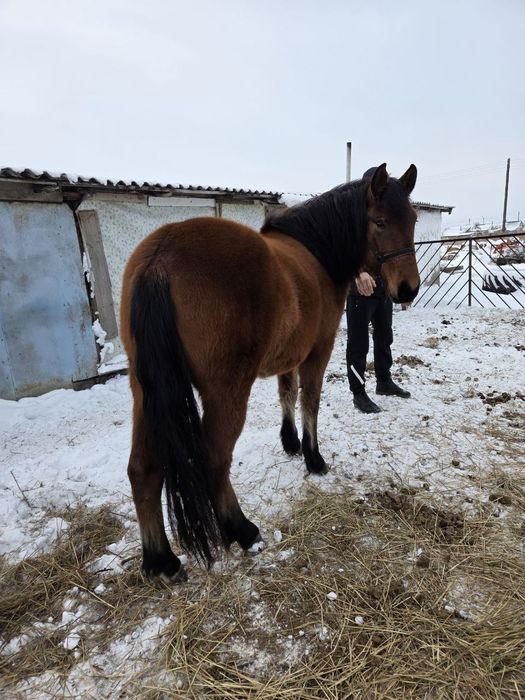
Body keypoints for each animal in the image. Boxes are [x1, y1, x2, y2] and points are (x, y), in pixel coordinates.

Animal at [120, 163, 420, 582]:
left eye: (412, 219)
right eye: (379, 221)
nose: (408, 289)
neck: (315, 254)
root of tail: (160, 258)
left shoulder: (289, 355)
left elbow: (287, 392)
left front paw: (290, 442)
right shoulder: (319, 350)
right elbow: (310, 400)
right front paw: (313, 457)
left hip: (145, 393)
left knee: (142, 470)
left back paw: (160, 561)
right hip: (225, 391)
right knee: (215, 460)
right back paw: (243, 531)